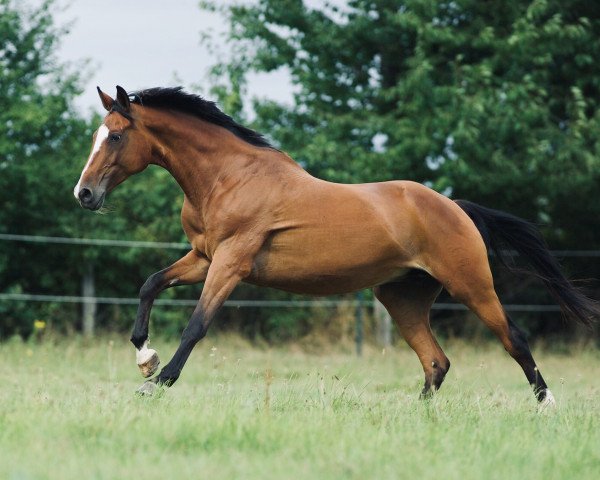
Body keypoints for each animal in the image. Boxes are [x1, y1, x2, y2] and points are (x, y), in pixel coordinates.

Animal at [72, 86, 596, 404]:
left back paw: (547, 407)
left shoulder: (231, 262)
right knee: (436, 361)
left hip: (472, 286)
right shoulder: (204, 257)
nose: (84, 194)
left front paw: (157, 384)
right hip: (402, 297)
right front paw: (145, 358)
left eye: (114, 136)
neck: (228, 177)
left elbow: (197, 325)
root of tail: (455, 207)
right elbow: (150, 284)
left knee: (514, 340)